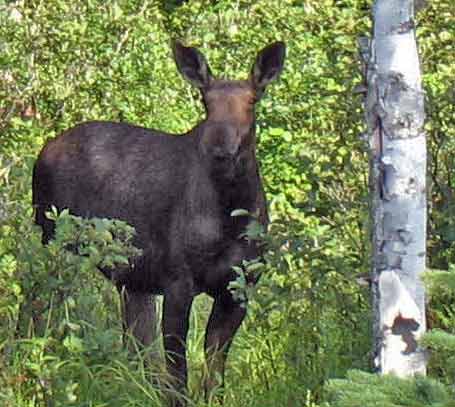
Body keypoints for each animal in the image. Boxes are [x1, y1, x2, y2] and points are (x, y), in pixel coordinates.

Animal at [33, 39, 284, 404]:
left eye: (252, 100)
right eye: (205, 101)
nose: (219, 149)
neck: (229, 218)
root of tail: (43, 151)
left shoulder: (239, 287)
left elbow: (213, 374)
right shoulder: (178, 280)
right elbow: (177, 372)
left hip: (132, 279)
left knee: (135, 346)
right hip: (56, 244)